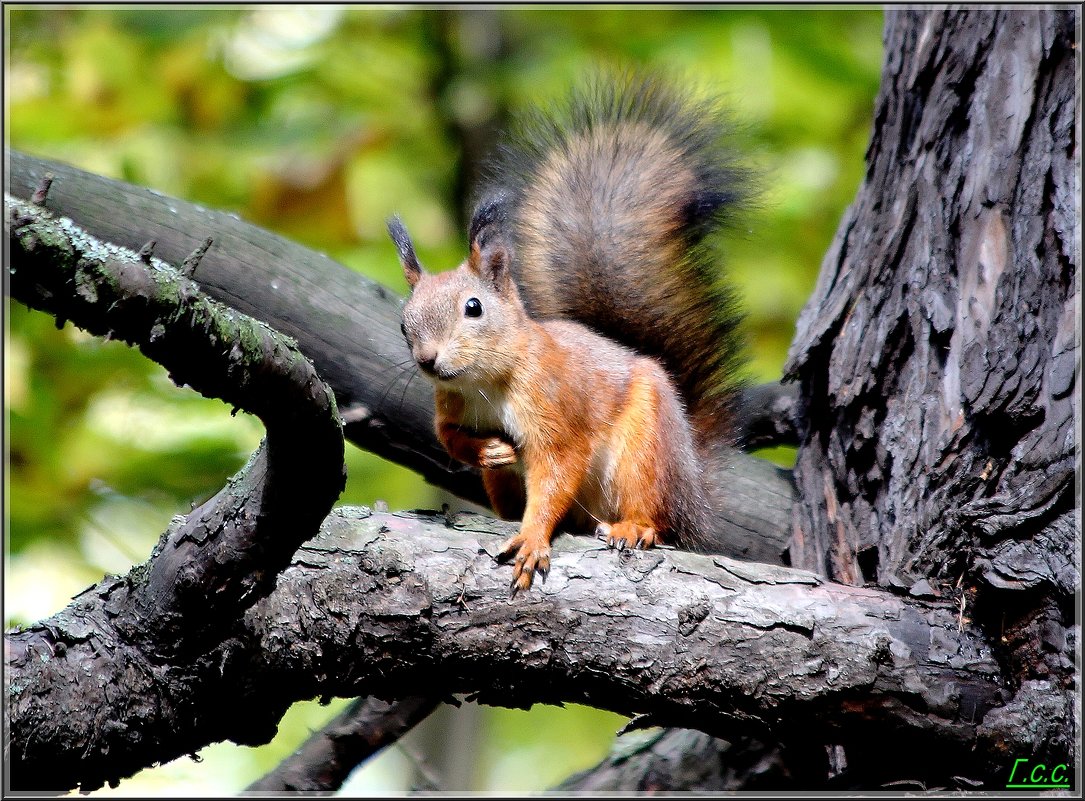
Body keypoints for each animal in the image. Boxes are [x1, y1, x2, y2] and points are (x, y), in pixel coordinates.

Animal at [390, 74, 755, 594]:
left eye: (473, 308)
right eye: (404, 323)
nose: (428, 360)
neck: (487, 383)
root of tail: (693, 492)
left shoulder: (555, 410)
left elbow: (556, 472)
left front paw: (532, 538)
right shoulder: (450, 405)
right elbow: (448, 438)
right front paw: (489, 449)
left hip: (645, 450)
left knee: (656, 515)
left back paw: (635, 526)